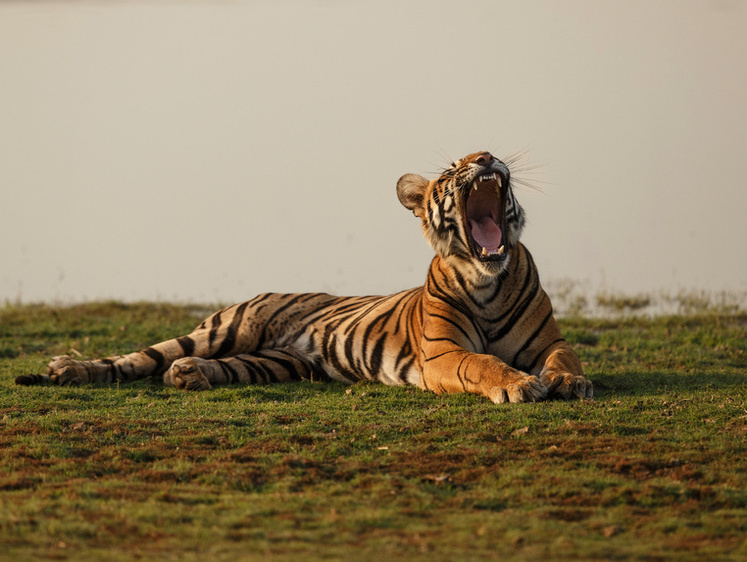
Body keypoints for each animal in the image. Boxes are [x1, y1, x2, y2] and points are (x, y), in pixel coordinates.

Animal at [14, 151, 592, 400]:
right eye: (452, 171)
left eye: (487, 150)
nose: (487, 158)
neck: (486, 278)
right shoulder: (442, 354)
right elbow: (483, 362)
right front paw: (520, 385)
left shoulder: (551, 339)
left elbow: (564, 356)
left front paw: (567, 381)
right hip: (222, 330)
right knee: (135, 359)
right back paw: (68, 369)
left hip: (274, 362)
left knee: (215, 369)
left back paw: (190, 377)